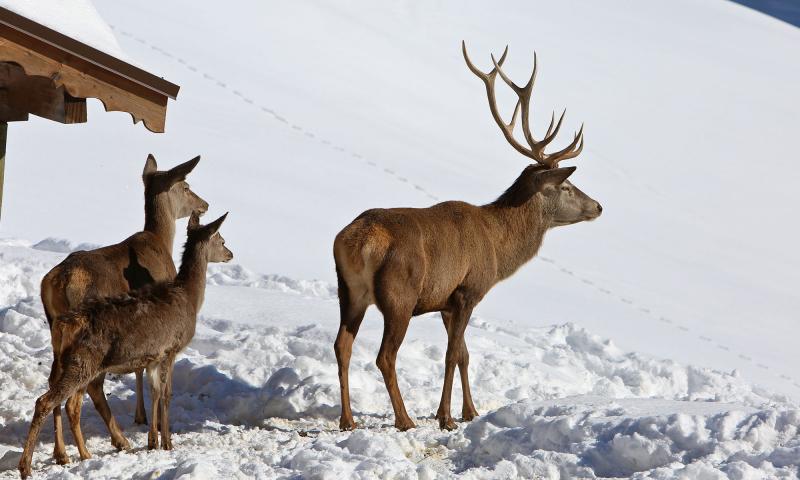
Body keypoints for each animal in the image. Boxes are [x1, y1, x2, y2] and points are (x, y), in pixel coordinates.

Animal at [18, 212, 231, 478]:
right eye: (222, 239)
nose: (230, 254)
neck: (189, 298)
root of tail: (64, 324)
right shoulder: (170, 349)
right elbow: (167, 394)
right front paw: (168, 443)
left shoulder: (153, 356)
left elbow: (155, 391)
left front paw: (153, 442)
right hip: (84, 361)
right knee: (48, 401)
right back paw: (28, 466)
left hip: (66, 358)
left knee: (60, 397)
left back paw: (71, 455)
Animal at [39, 155, 209, 464]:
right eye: (187, 186)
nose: (204, 204)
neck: (161, 241)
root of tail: (58, 282)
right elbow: (143, 370)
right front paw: (146, 421)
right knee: (90, 386)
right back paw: (117, 440)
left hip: (55, 329)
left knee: (54, 380)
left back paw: (62, 453)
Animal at [334, 42, 604, 432]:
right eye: (566, 186)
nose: (598, 206)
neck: (498, 244)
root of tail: (357, 241)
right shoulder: (468, 289)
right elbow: (451, 355)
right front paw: (446, 417)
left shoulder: (446, 302)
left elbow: (464, 353)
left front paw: (470, 411)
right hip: (400, 294)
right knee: (385, 356)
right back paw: (405, 419)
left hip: (349, 290)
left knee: (342, 345)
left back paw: (348, 420)